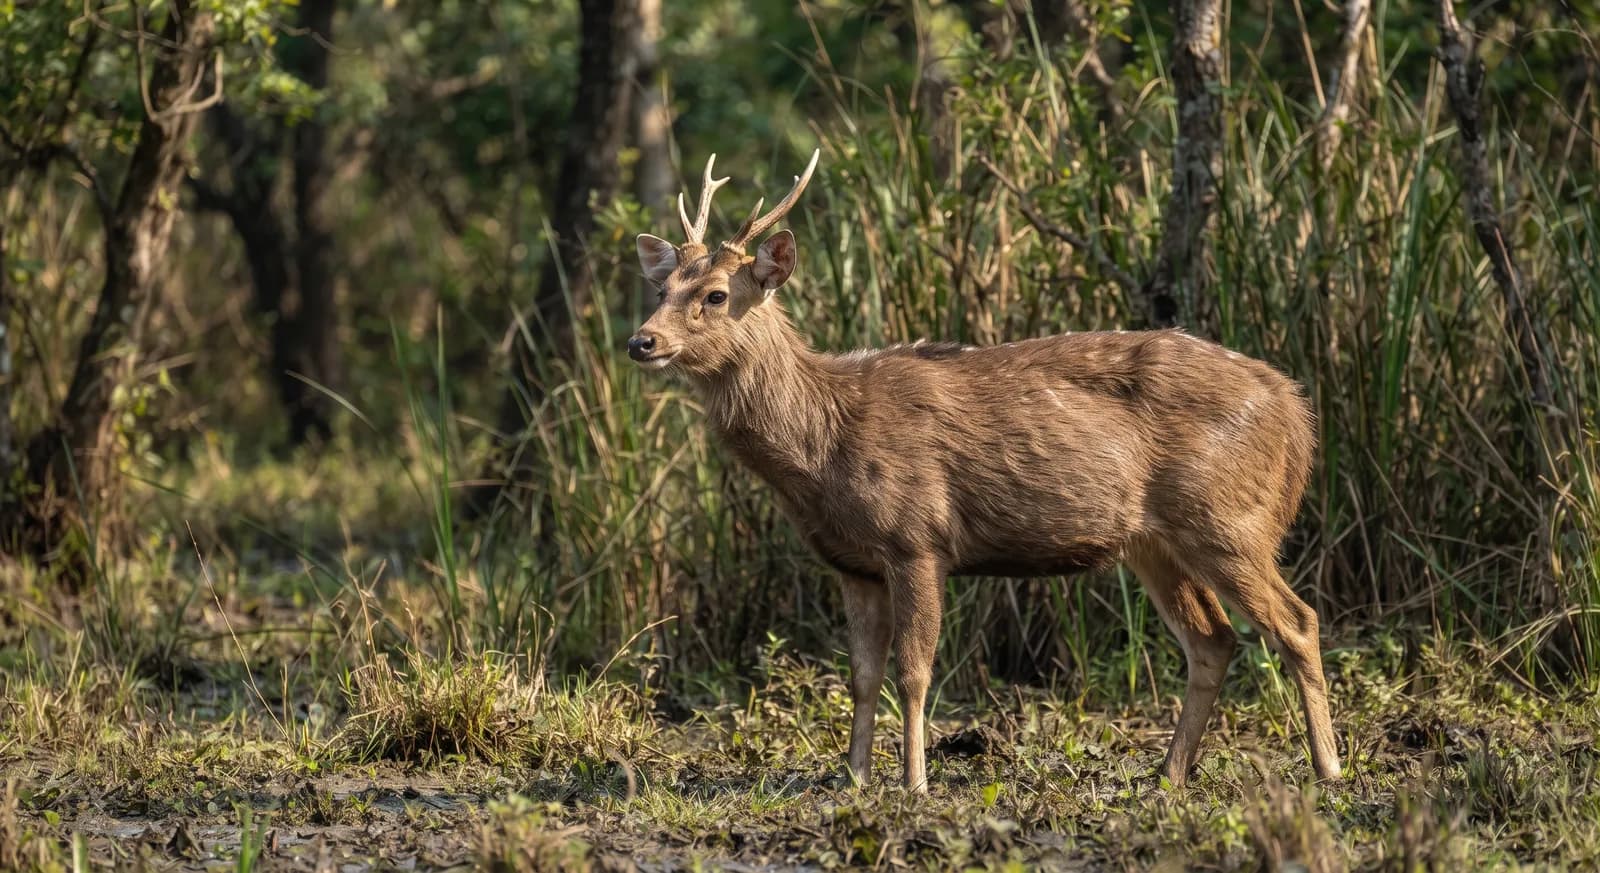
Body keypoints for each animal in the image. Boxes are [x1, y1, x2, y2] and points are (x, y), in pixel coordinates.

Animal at [628, 150, 1342, 792]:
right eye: (661, 290)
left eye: (717, 294)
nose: (642, 340)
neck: (824, 442)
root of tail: (1296, 412)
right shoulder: (852, 562)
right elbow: (861, 675)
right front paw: (853, 778)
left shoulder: (916, 537)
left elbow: (914, 671)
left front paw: (913, 782)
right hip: (1155, 540)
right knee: (1213, 640)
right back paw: (1166, 777)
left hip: (1228, 516)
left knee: (1297, 622)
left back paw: (1329, 769)